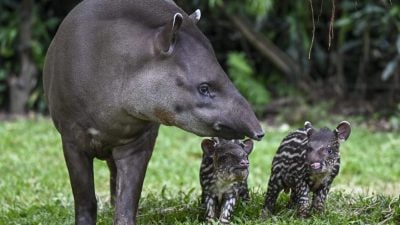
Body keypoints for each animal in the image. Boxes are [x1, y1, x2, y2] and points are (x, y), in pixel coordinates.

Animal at [43, 0, 262, 224]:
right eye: (204, 88)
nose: (258, 131)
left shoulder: (138, 142)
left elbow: (127, 200)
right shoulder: (72, 139)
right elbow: (85, 200)